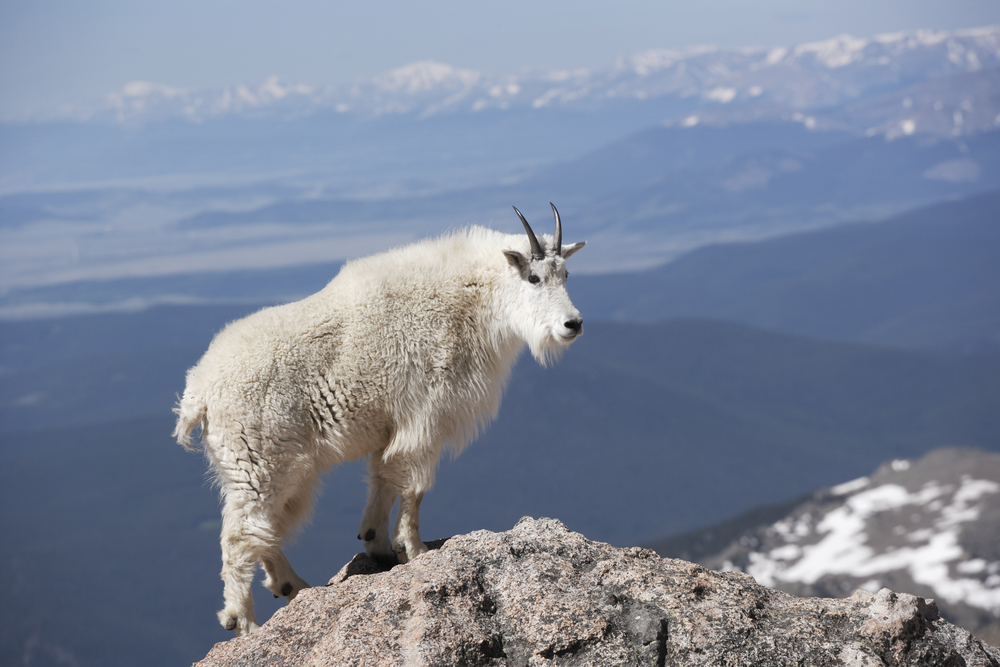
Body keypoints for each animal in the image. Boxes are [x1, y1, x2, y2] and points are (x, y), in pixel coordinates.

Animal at [174, 204, 585, 634]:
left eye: (566, 275)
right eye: (534, 277)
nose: (573, 324)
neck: (471, 298)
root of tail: (198, 394)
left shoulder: (397, 427)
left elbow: (384, 476)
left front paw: (378, 543)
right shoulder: (425, 417)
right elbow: (414, 485)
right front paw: (415, 550)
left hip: (259, 469)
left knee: (262, 530)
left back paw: (291, 586)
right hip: (259, 462)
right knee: (240, 536)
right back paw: (245, 622)